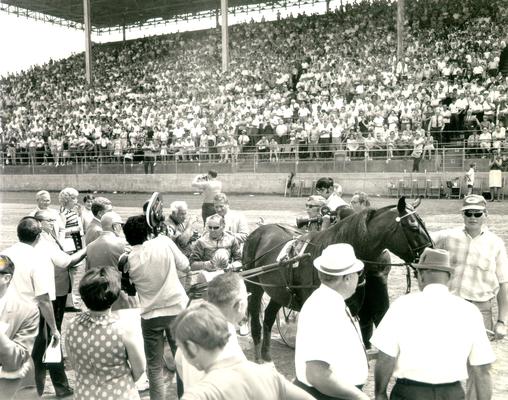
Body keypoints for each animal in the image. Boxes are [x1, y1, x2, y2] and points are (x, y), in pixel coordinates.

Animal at [242, 196, 432, 362]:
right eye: (414, 228)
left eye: (423, 224)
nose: (430, 254)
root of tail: (259, 231)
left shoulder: (351, 307)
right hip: (254, 287)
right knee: (256, 321)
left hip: (279, 291)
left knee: (268, 317)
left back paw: (266, 356)